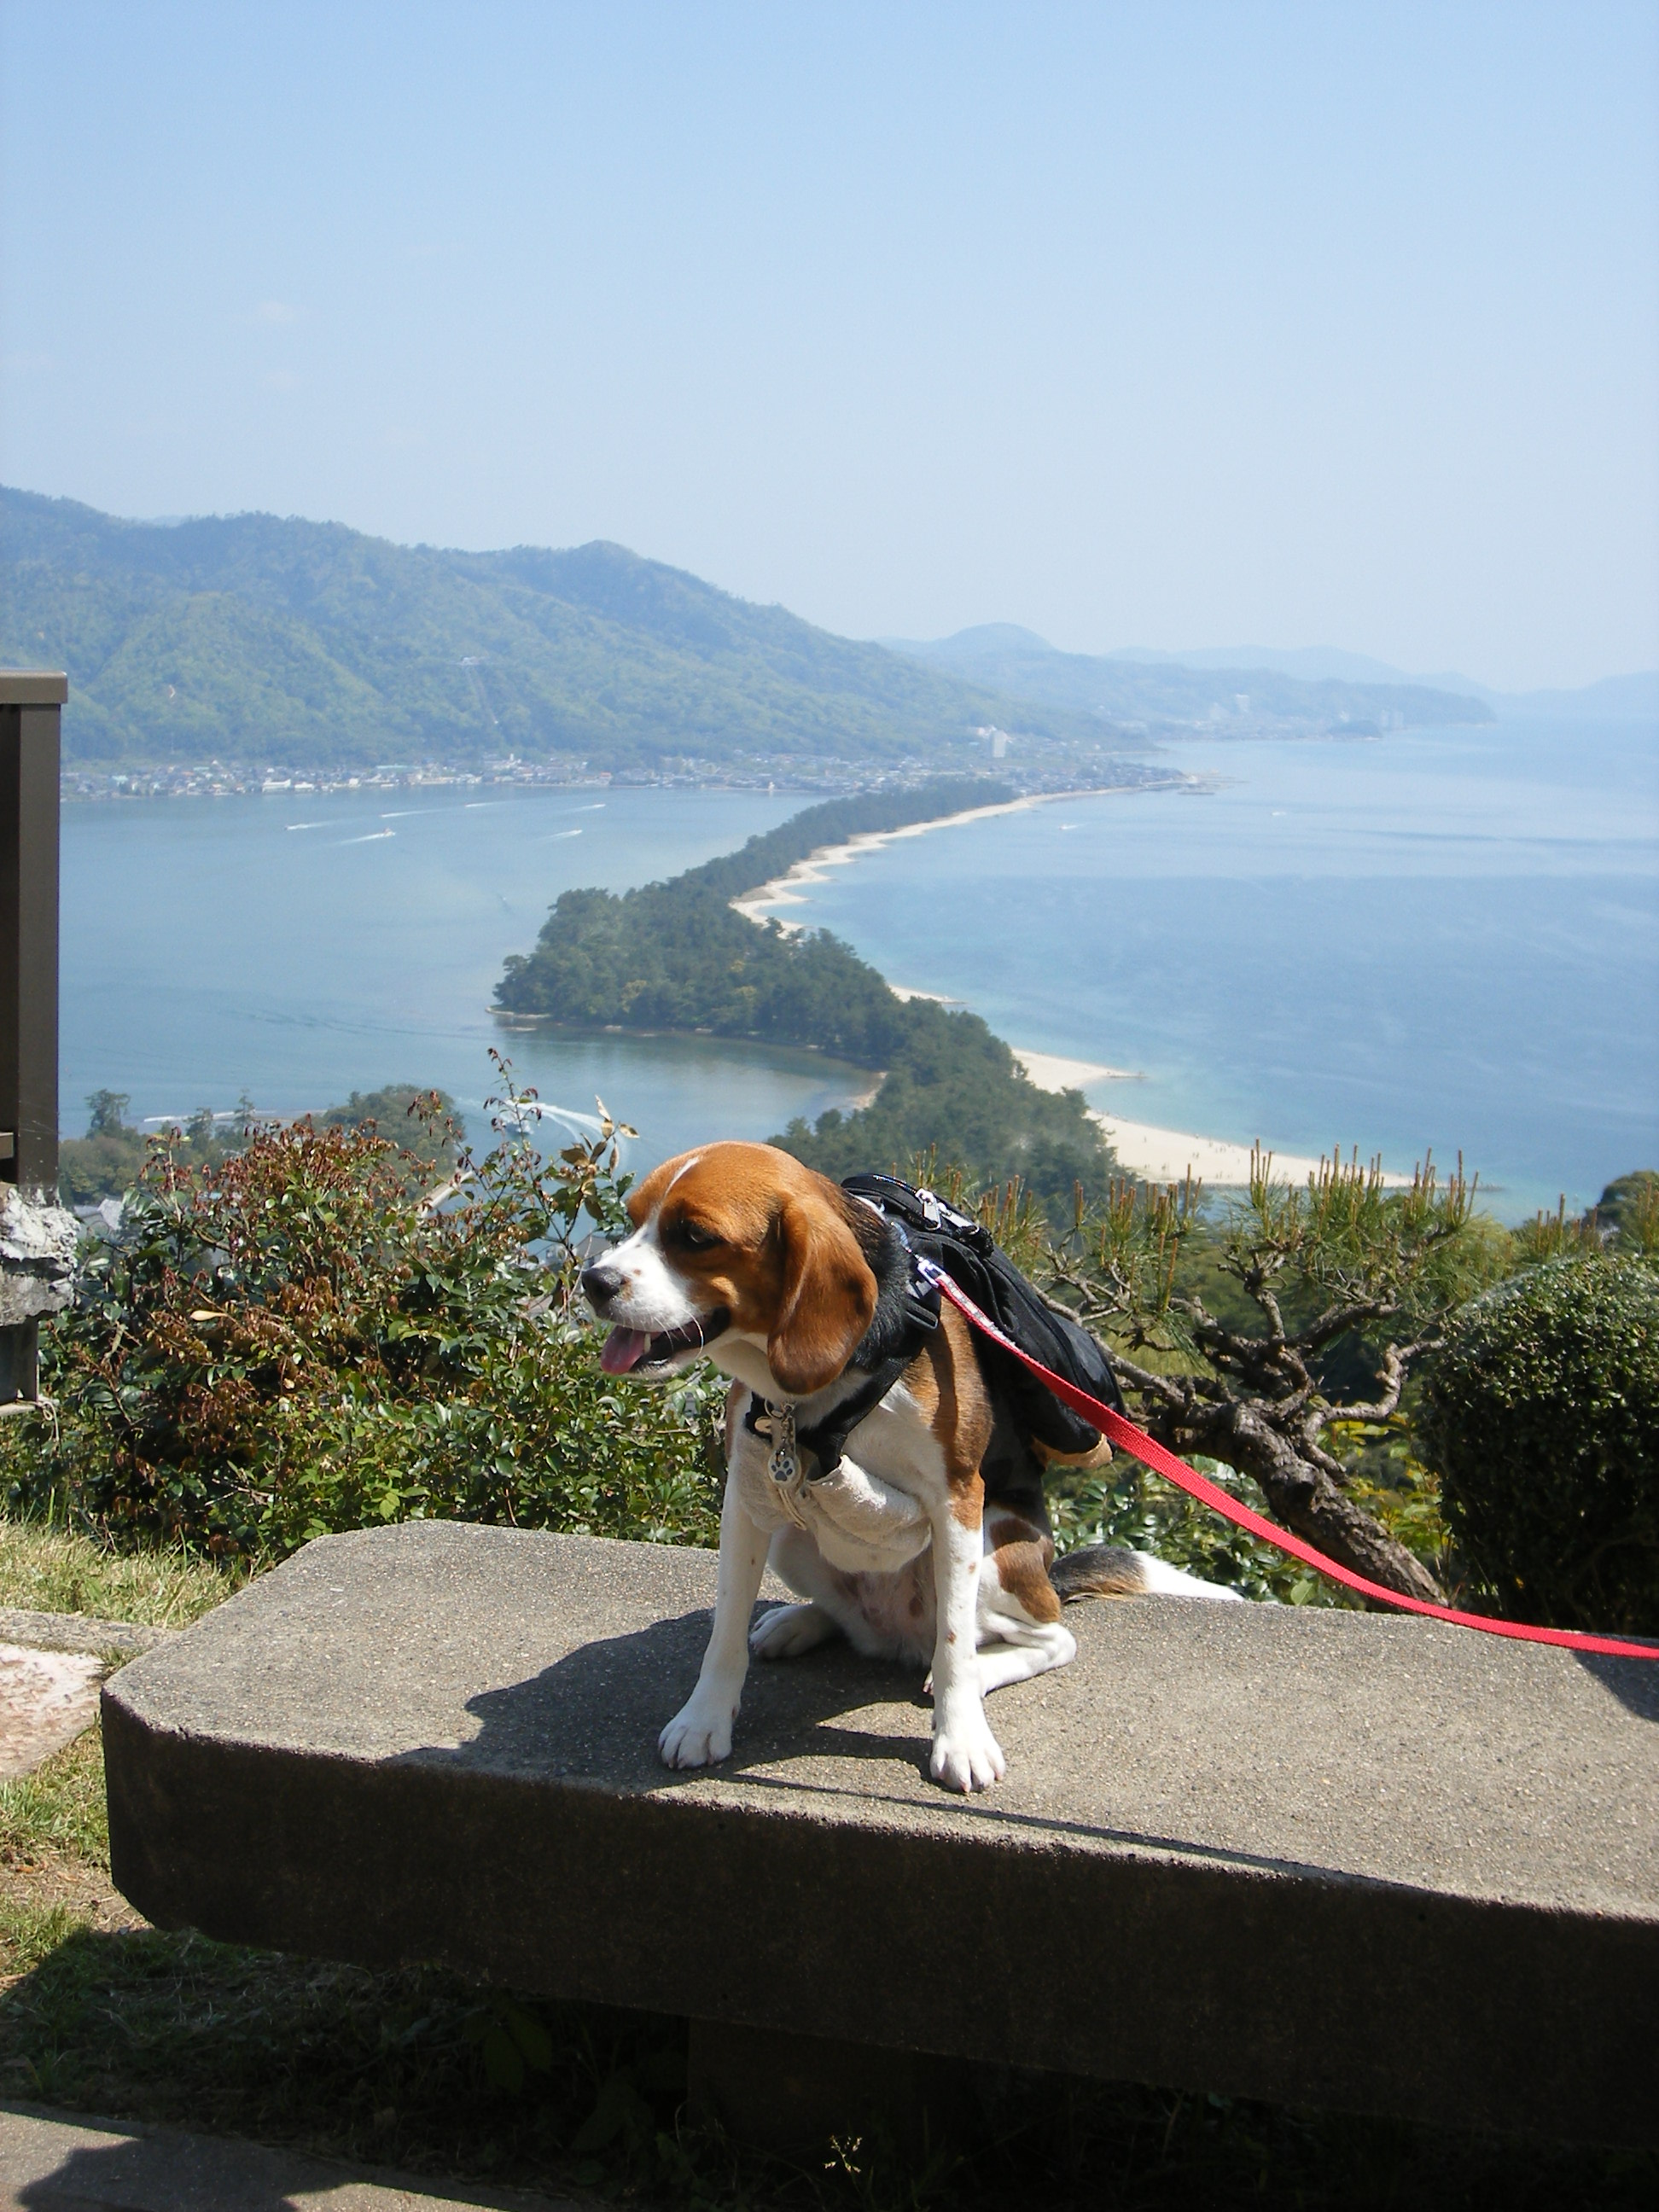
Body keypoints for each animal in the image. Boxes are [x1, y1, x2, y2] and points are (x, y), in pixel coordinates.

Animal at [579, 1141, 1238, 1796]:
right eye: (633, 1218)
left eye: (695, 1236)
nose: (594, 1280)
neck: (833, 1386)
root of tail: (894, 1637)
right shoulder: (750, 1495)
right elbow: (724, 1632)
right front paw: (704, 1720)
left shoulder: (957, 1500)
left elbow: (954, 1643)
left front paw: (962, 1738)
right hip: (793, 1539)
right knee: (842, 1613)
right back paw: (797, 1623)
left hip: (997, 1551)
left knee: (1042, 1639)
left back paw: (979, 1669)